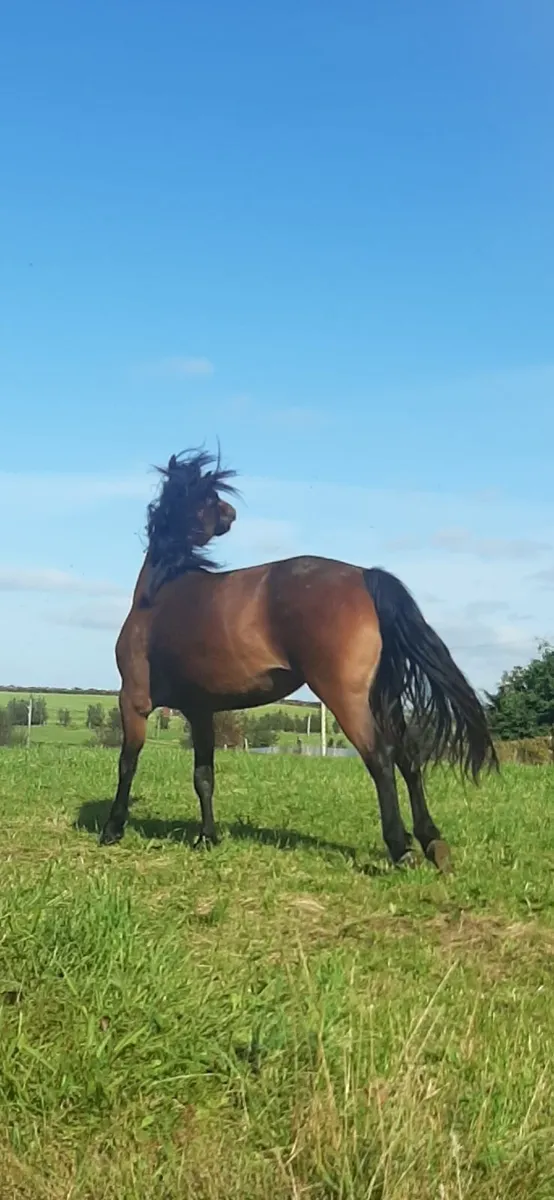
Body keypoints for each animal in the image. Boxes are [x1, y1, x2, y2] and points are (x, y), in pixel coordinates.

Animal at [100, 449, 497, 873]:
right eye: (207, 495)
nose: (229, 514)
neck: (159, 593)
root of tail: (365, 576)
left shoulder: (134, 701)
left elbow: (127, 763)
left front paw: (112, 828)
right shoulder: (201, 711)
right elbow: (203, 776)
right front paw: (207, 837)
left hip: (346, 697)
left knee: (380, 757)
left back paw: (399, 847)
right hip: (383, 697)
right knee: (408, 756)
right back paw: (431, 841)